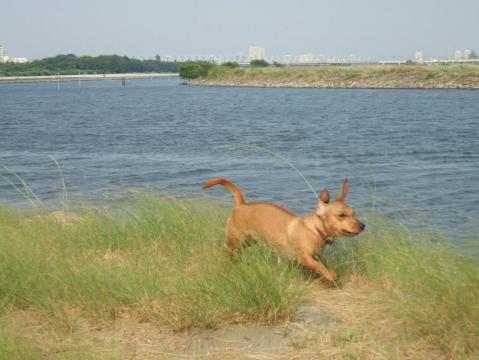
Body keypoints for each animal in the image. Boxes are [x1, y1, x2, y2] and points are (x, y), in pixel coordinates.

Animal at [203, 177, 368, 282]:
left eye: (354, 213)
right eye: (342, 215)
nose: (362, 226)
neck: (314, 230)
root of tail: (241, 205)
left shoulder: (315, 256)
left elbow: (320, 265)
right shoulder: (305, 258)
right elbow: (320, 266)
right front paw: (330, 275)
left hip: (249, 242)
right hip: (236, 241)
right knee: (228, 252)